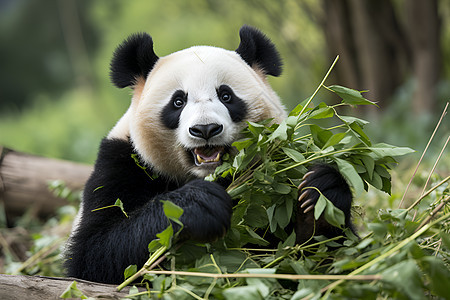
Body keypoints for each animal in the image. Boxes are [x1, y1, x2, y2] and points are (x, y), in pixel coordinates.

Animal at [65, 25, 356, 284]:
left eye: (226, 95)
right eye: (178, 101)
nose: (205, 129)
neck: (211, 176)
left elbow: (318, 260)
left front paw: (319, 193)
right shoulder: (121, 163)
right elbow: (94, 253)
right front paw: (198, 205)